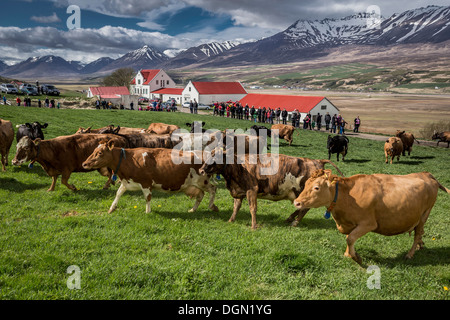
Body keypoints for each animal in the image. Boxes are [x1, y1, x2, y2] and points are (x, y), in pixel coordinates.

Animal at [83, 142, 220, 215]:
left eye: (100, 153)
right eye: (94, 151)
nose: (84, 164)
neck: (129, 159)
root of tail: (205, 153)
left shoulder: (146, 183)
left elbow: (147, 197)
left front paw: (148, 211)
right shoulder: (127, 182)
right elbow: (118, 193)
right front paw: (112, 208)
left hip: (203, 181)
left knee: (213, 189)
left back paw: (212, 206)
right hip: (195, 184)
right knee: (200, 195)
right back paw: (193, 209)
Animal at [199, 151, 342, 230]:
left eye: (216, 157)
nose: (201, 170)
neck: (237, 166)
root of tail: (317, 161)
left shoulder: (252, 189)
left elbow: (253, 208)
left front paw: (253, 226)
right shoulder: (238, 192)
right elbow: (236, 207)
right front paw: (231, 220)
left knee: (304, 208)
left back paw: (294, 222)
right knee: (301, 208)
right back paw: (289, 219)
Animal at [296, 169, 450, 264]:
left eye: (316, 187)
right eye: (306, 183)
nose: (296, 202)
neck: (348, 196)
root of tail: (427, 174)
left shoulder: (368, 223)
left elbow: (350, 238)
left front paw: (356, 257)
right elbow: (349, 237)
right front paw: (348, 254)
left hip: (424, 214)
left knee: (418, 233)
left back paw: (410, 254)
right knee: (420, 232)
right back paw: (420, 245)